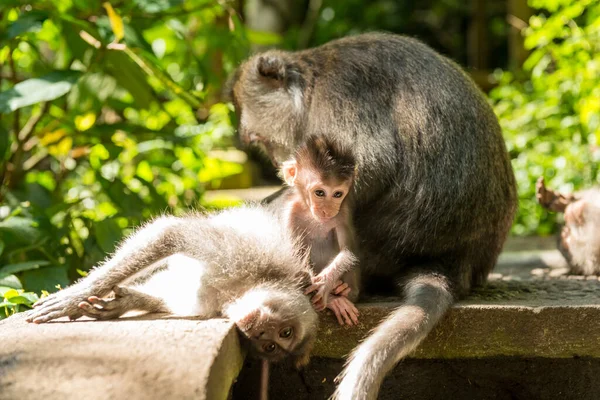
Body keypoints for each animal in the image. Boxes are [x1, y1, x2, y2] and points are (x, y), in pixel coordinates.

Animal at [25, 205, 318, 368]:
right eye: (284, 333)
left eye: (272, 347)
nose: (261, 333)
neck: (241, 291)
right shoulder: (247, 258)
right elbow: (171, 234)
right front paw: (74, 297)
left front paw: (124, 303)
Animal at [282, 136, 360, 326]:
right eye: (319, 192)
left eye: (337, 194)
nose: (328, 210)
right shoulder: (289, 211)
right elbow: (293, 259)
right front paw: (333, 300)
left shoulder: (343, 211)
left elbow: (349, 252)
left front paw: (325, 284)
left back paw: (342, 289)